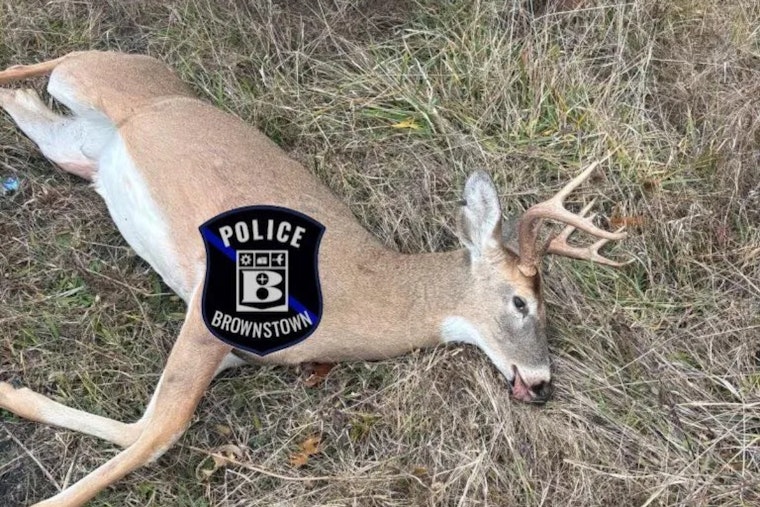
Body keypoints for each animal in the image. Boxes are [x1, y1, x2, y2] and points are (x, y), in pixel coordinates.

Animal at [0, 51, 628, 506]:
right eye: (522, 302)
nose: (542, 383)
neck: (365, 291)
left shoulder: (233, 353)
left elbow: (148, 427)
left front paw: (14, 392)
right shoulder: (213, 305)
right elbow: (160, 431)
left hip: (72, 148)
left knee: (27, 103)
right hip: (87, 76)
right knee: (47, 61)